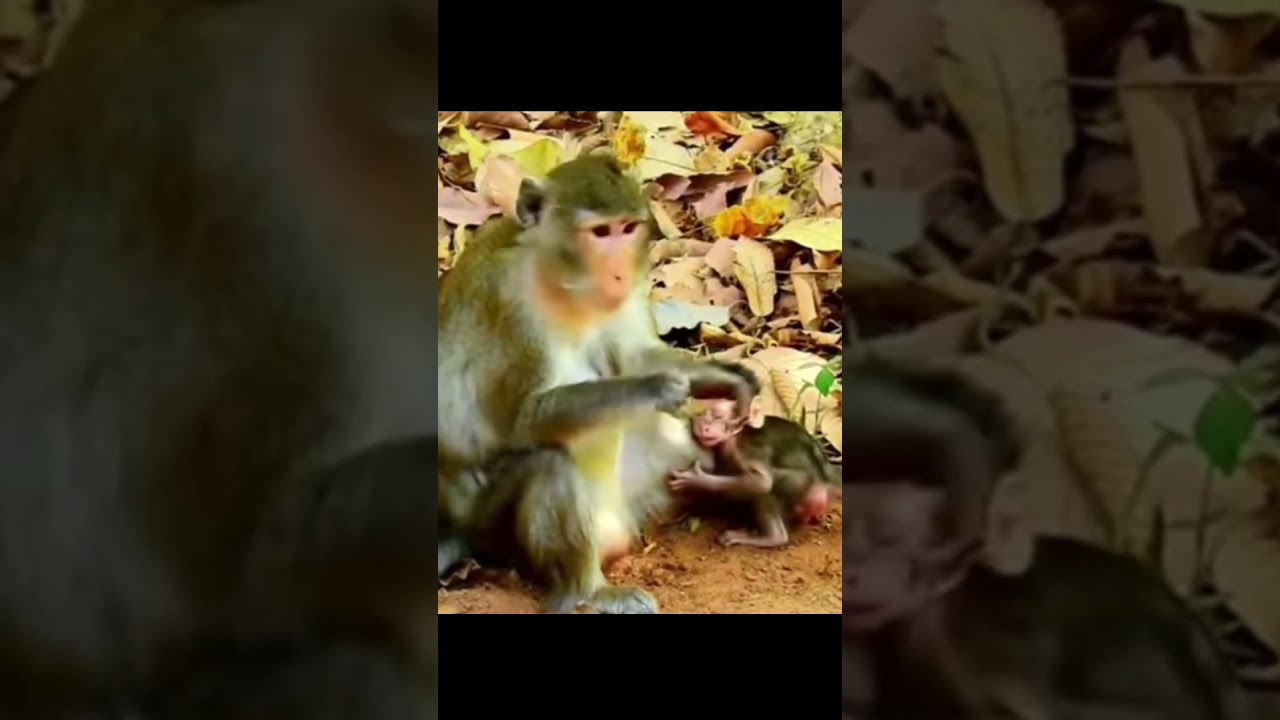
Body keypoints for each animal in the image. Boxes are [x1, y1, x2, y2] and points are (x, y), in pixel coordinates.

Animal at [436, 153, 757, 615]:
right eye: (600, 232)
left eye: (628, 228)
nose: (620, 274)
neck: (556, 279)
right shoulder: (506, 305)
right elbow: (525, 420)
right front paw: (654, 388)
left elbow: (635, 354)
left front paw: (728, 379)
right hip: (491, 529)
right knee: (550, 465)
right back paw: (586, 592)